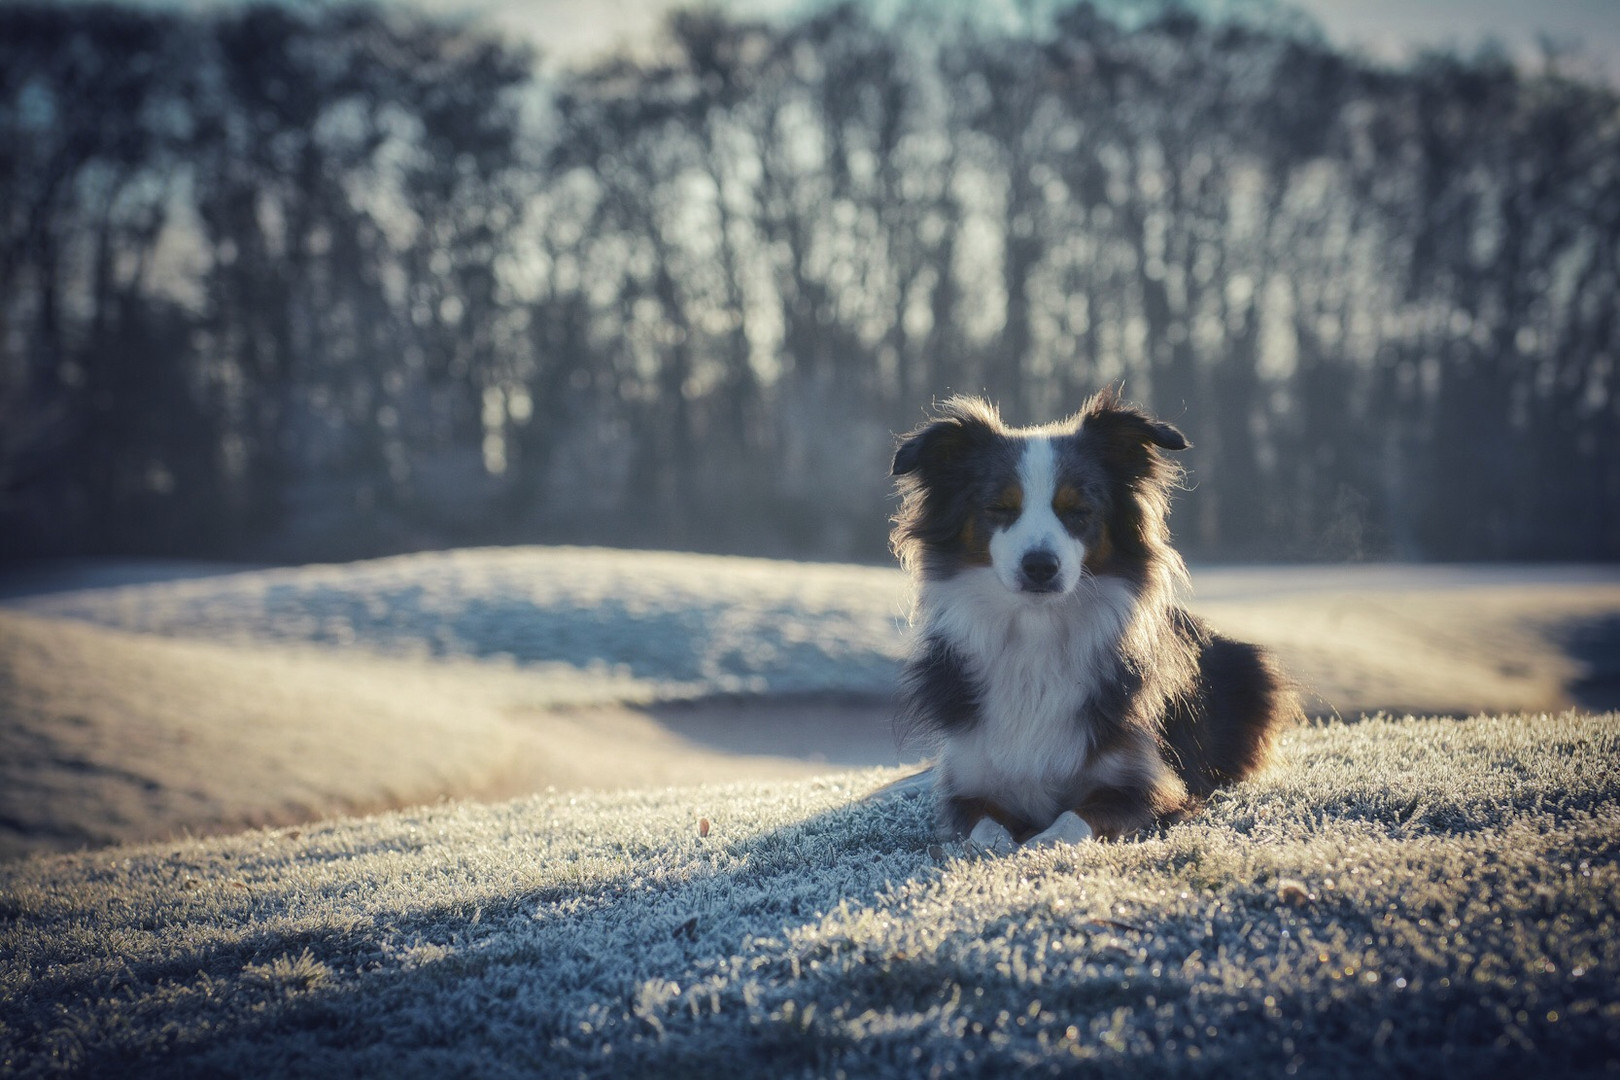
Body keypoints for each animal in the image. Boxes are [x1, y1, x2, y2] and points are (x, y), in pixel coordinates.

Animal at [894, 393, 1296, 848]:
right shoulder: (966, 786)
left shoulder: (1148, 783)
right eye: (998, 508)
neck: (1038, 634)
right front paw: (1001, 846)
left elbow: (1070, 820)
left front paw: (1035, 846)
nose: (1040, 567)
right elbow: (985, 831)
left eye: (1078, 510)